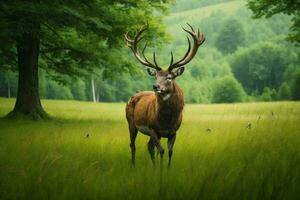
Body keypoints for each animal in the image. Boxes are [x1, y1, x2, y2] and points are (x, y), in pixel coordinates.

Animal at [123, 23, 204, 166]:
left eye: (169, 77)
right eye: (155, 76)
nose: (155, 86)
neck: (166, 120)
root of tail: (131, 98)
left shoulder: (173, 131)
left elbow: (170, 152)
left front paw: (166, 169)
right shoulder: (153, 128)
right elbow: (161, 151)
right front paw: (161, 170)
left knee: (149, 146)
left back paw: (153, 166)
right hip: (131, 122)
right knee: (133, 145)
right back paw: (133, 165)